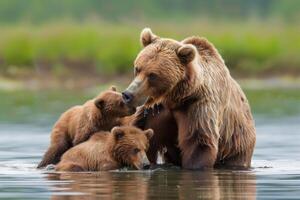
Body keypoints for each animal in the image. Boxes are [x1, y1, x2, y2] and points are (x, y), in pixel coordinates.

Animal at [122, 27, 255, 169]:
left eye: (153, 75)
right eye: (137, 68)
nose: (128, 94)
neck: (174, 97)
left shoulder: (197, 105)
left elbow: (198, 142)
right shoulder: (152, 111)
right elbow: (139, 131)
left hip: (237, 142)